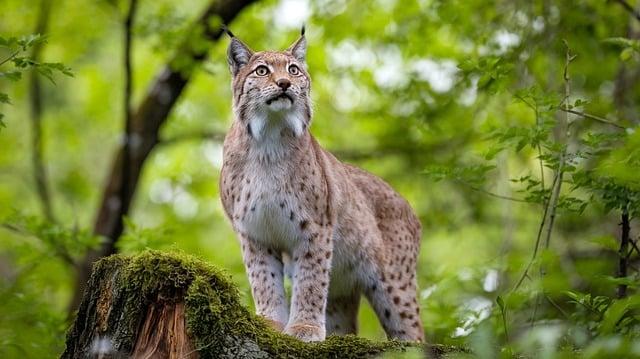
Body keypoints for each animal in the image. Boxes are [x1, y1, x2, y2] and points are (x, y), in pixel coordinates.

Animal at [220, 27, 424, 344]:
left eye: (294, 70)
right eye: (262, 70)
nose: (284, 83)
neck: (269, 138)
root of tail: (408, 206)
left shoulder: (315, 225)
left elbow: (311, 281)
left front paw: (305, 328)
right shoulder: (253, 230)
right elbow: (263, 279)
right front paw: (271, 324)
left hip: (394, 283)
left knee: (415, 335)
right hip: (343, 287)